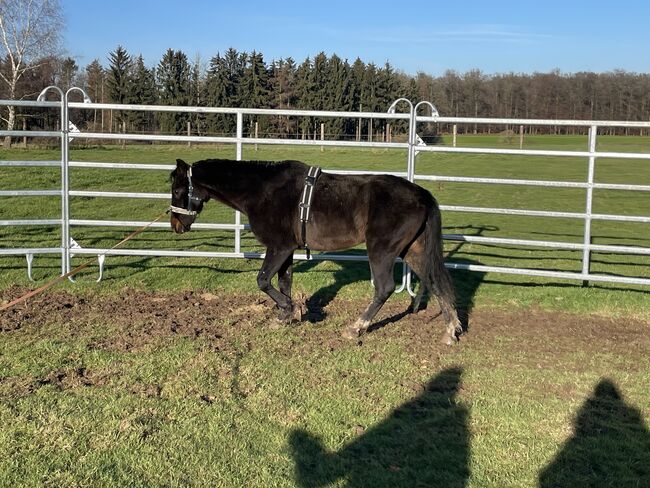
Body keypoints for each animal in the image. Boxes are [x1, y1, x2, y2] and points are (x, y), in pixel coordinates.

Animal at [168, 158, 460, 346]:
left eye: (178, 189)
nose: (176, 224)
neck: (262, 190)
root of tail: (421, 194)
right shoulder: (286, 250)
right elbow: (283, 282)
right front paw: (286, 316)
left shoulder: (278, 247)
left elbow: (263, 281)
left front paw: (290, 309)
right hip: (413, 251)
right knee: (435, 283)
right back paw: (450, 330)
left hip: (382, 251)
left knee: (384, 288)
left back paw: (356, 327)